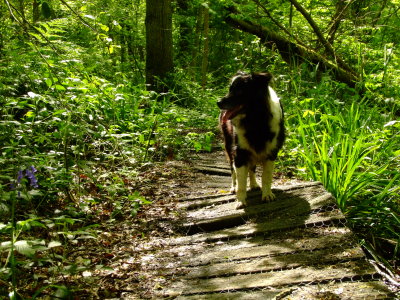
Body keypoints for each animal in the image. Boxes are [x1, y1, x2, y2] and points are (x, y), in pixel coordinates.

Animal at [217, 72, 286, 209]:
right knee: (232, 169)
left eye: (239, 91)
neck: (255, 119)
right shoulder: (239, 152)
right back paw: (233, 187)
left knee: (252, 168)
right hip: (229, 146)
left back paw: (254, 184)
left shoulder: (271, 152)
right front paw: (240, 201)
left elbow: (266, 177)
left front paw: (267, 195)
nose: (218, 102)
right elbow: (241, 181)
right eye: (229, 89)